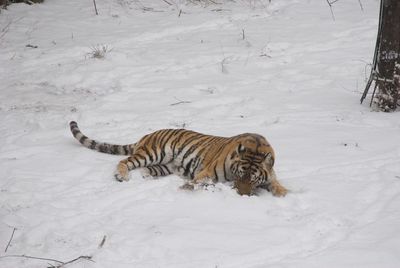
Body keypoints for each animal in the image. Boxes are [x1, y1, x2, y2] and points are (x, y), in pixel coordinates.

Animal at [69, 120, 288, 196]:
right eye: (239, 175)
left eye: (253, 179)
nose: (242, 195)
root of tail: (146, 135)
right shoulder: (207, 172)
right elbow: (198, 181)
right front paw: (186, 188)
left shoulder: (271, 176)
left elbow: (278, 186)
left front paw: (285, 193)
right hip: (153, 152)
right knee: (125, 161)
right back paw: (121, 176)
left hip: (165, 165)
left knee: (146, 169)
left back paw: (145, 176)